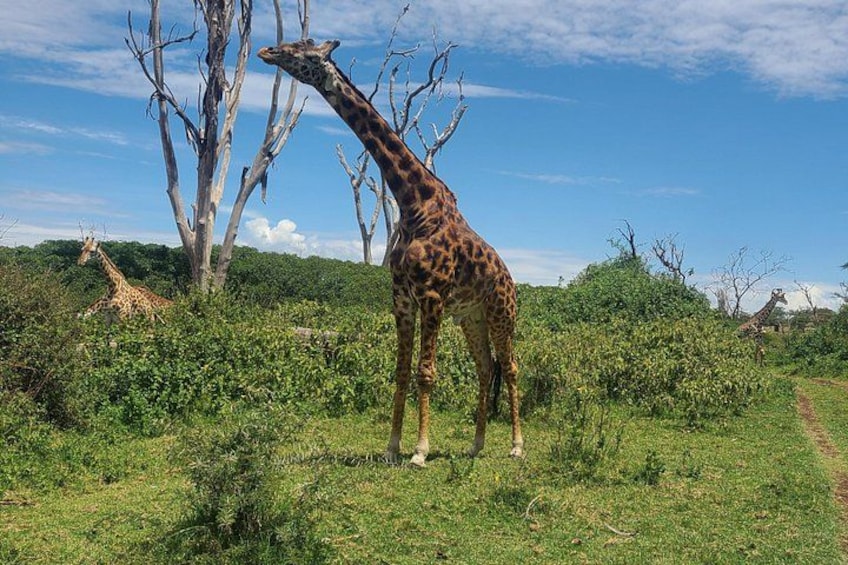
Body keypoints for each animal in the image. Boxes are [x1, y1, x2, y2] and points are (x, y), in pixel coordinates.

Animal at [259, 39, 524, 467]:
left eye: (307, 53)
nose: (266, 50)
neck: (414, 204)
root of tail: (510, 279)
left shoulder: (431, 296)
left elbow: (425, 372)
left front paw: (419, 451)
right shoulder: (401, 297)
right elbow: (401, 372)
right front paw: (391, 447)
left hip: (502, 312)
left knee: (511, 367)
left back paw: (516, 445)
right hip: (471, 317)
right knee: (485, 368)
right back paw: (476, 445)